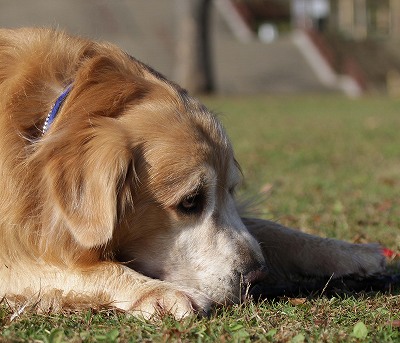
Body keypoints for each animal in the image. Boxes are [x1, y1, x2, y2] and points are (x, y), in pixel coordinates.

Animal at [0, 28, 388, 320]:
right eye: (189, 202)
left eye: (231, 191)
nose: (257, 274)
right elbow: (80, 267)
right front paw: (159, 292)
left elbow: (270, 230)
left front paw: (351, 252)